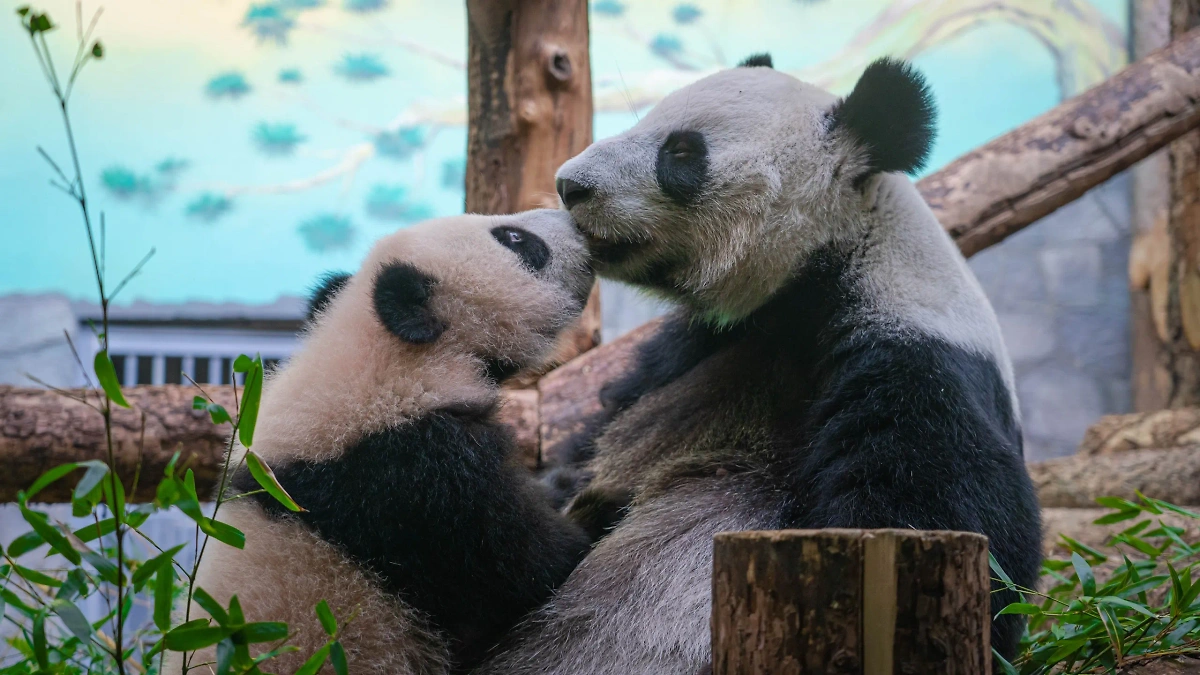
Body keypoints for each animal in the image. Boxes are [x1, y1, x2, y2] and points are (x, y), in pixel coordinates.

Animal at [477, 53, 1041, 667]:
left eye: (681, 152)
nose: (569, 185)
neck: (825, 271)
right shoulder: (699, 345)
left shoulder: (917, 365)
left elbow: (944, 524)